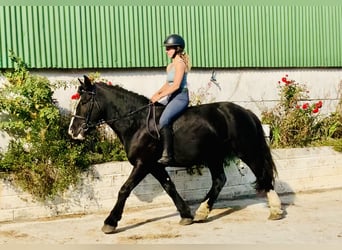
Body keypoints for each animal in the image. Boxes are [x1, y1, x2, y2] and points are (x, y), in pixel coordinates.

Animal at [68, 75, 282, 233]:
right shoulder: (154, 165)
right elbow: (169, 187)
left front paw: (110, 222)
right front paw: (186, 215)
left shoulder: (143, 163)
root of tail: (244, 111)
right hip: (213, 156)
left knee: (263, 175)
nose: (73, 131)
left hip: (247, 151)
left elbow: (124, 189)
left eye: (85, 101)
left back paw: (276, 211)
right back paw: (202, 212)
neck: (137, 123)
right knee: (219, 180)